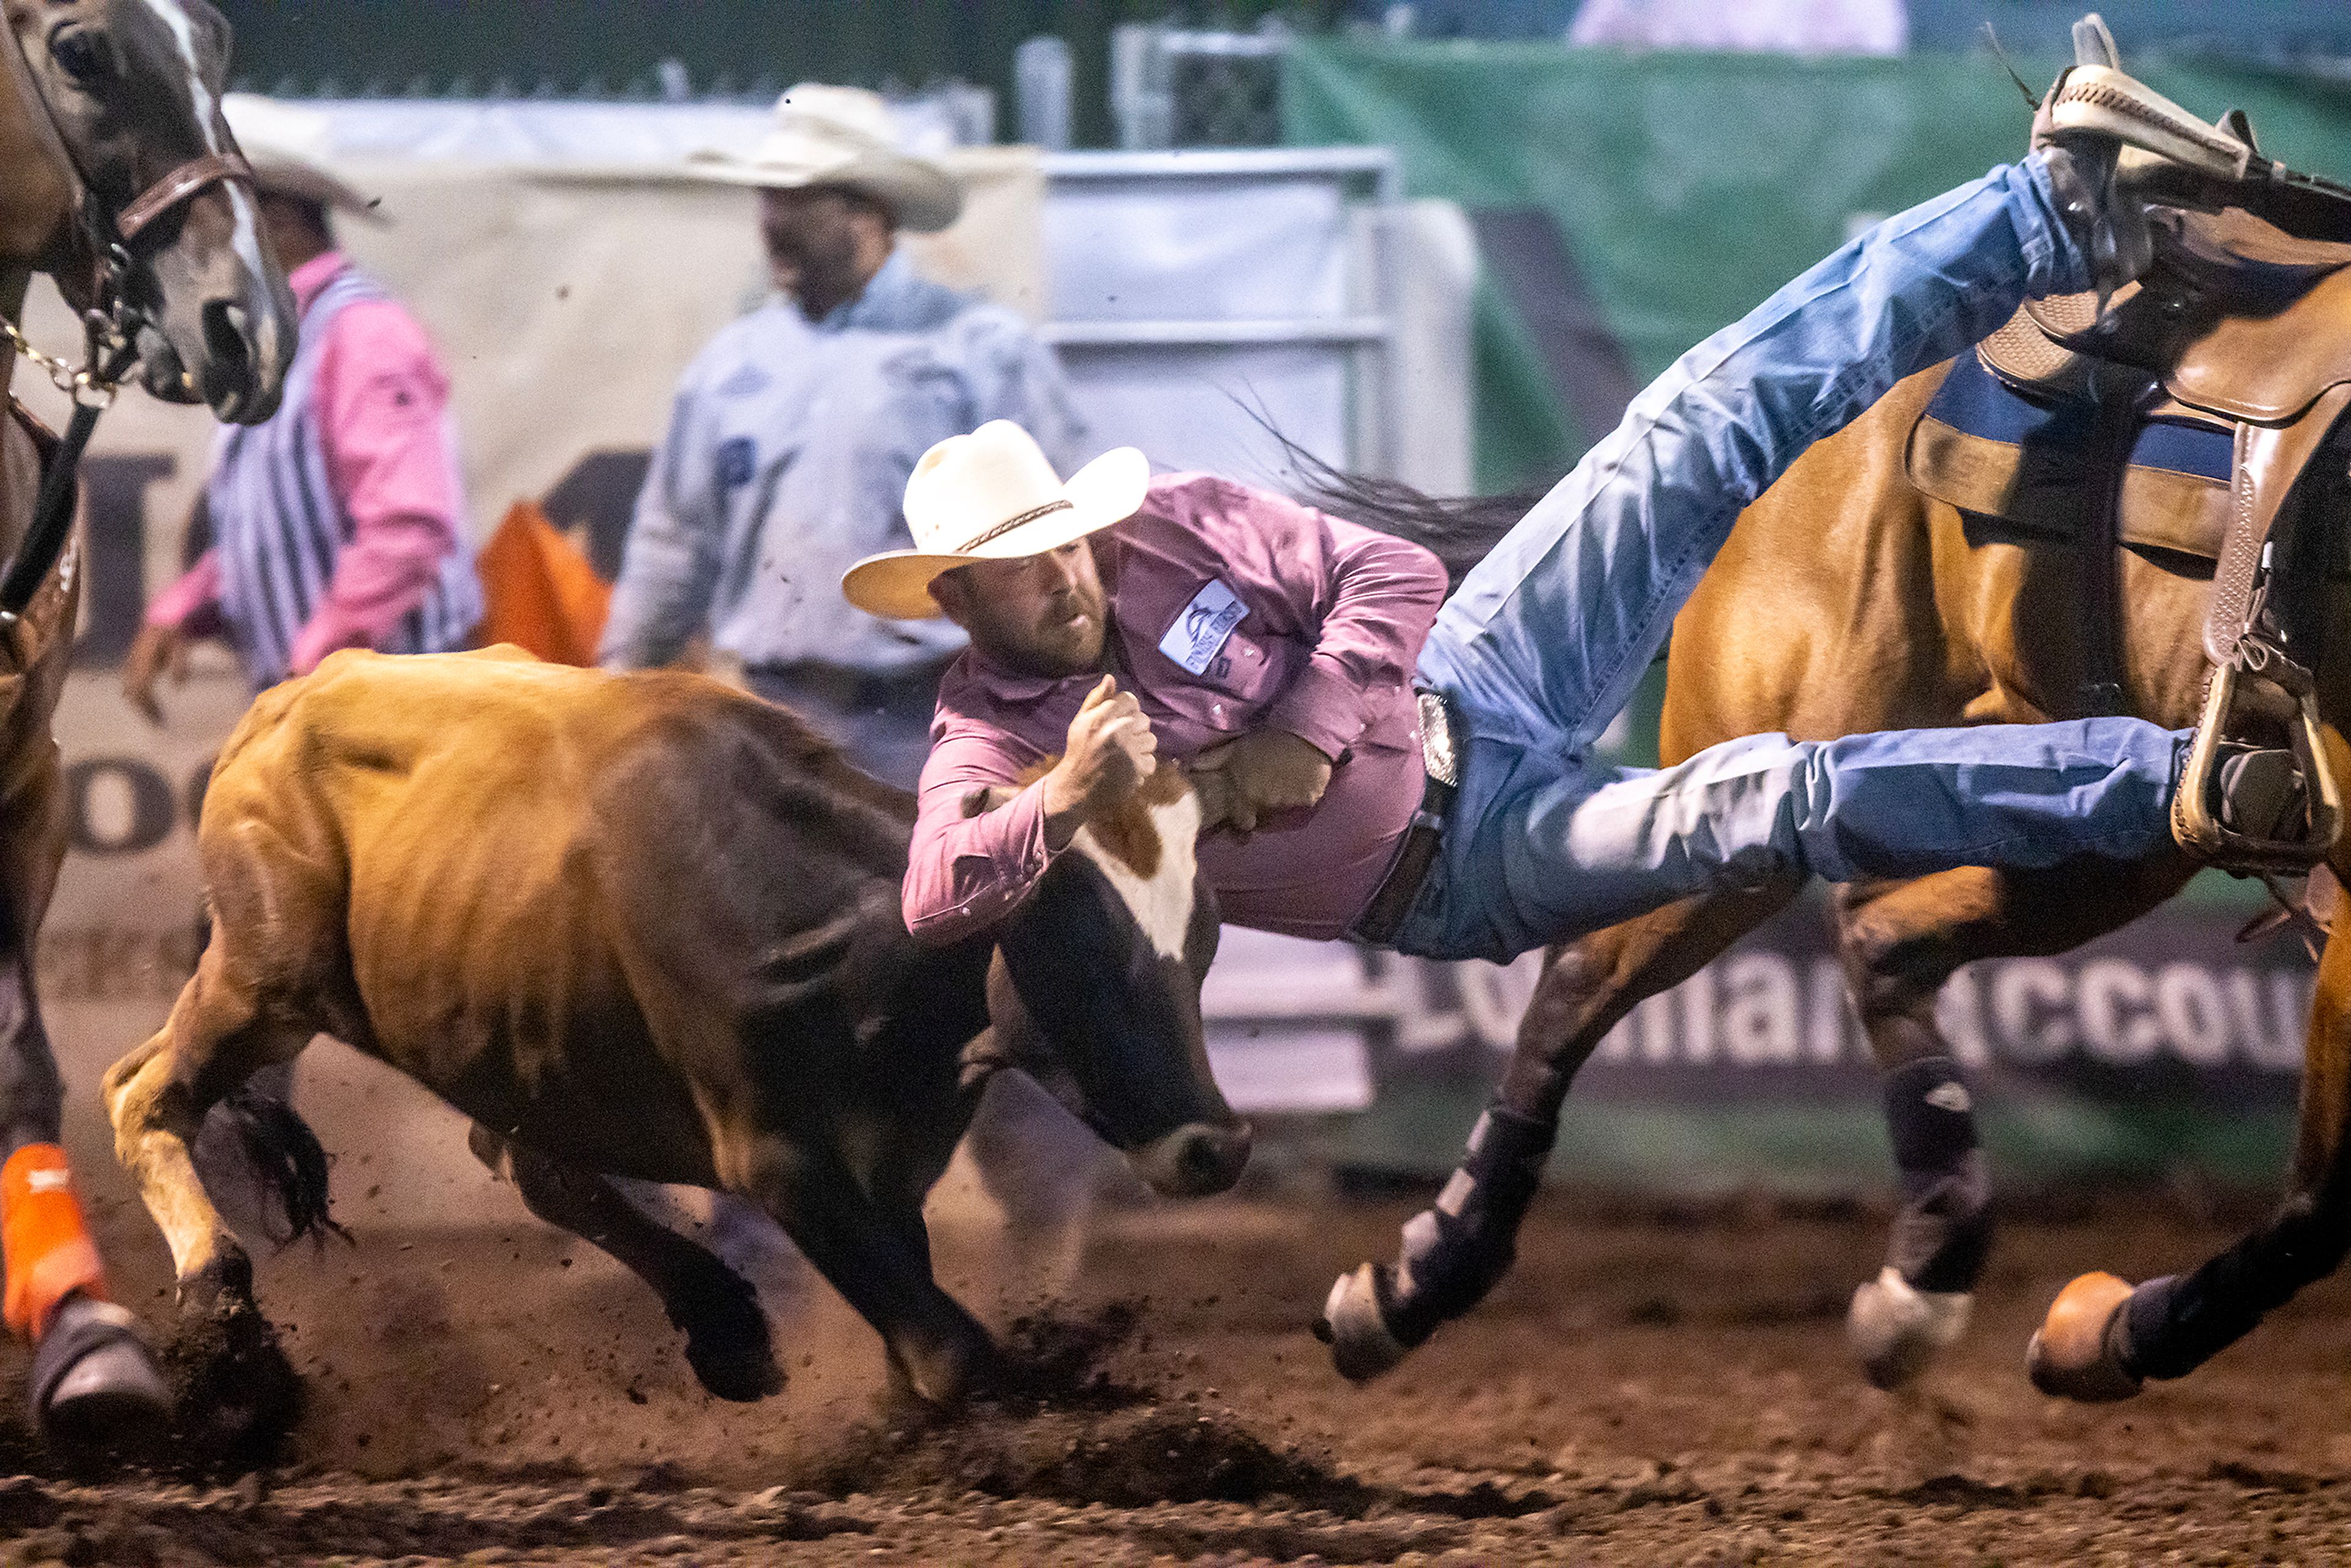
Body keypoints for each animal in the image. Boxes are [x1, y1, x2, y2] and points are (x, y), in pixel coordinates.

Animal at [1335, 184, 2351, 1401]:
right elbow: (2329, 1200)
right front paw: (2117, 1330)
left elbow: (2325, 1204)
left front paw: (2110, 1330)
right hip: (1774, 752)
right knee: (1597, 965)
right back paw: (1423, 1276)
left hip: (2104, 826)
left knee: (1881, 930)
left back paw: (1940, 1267)